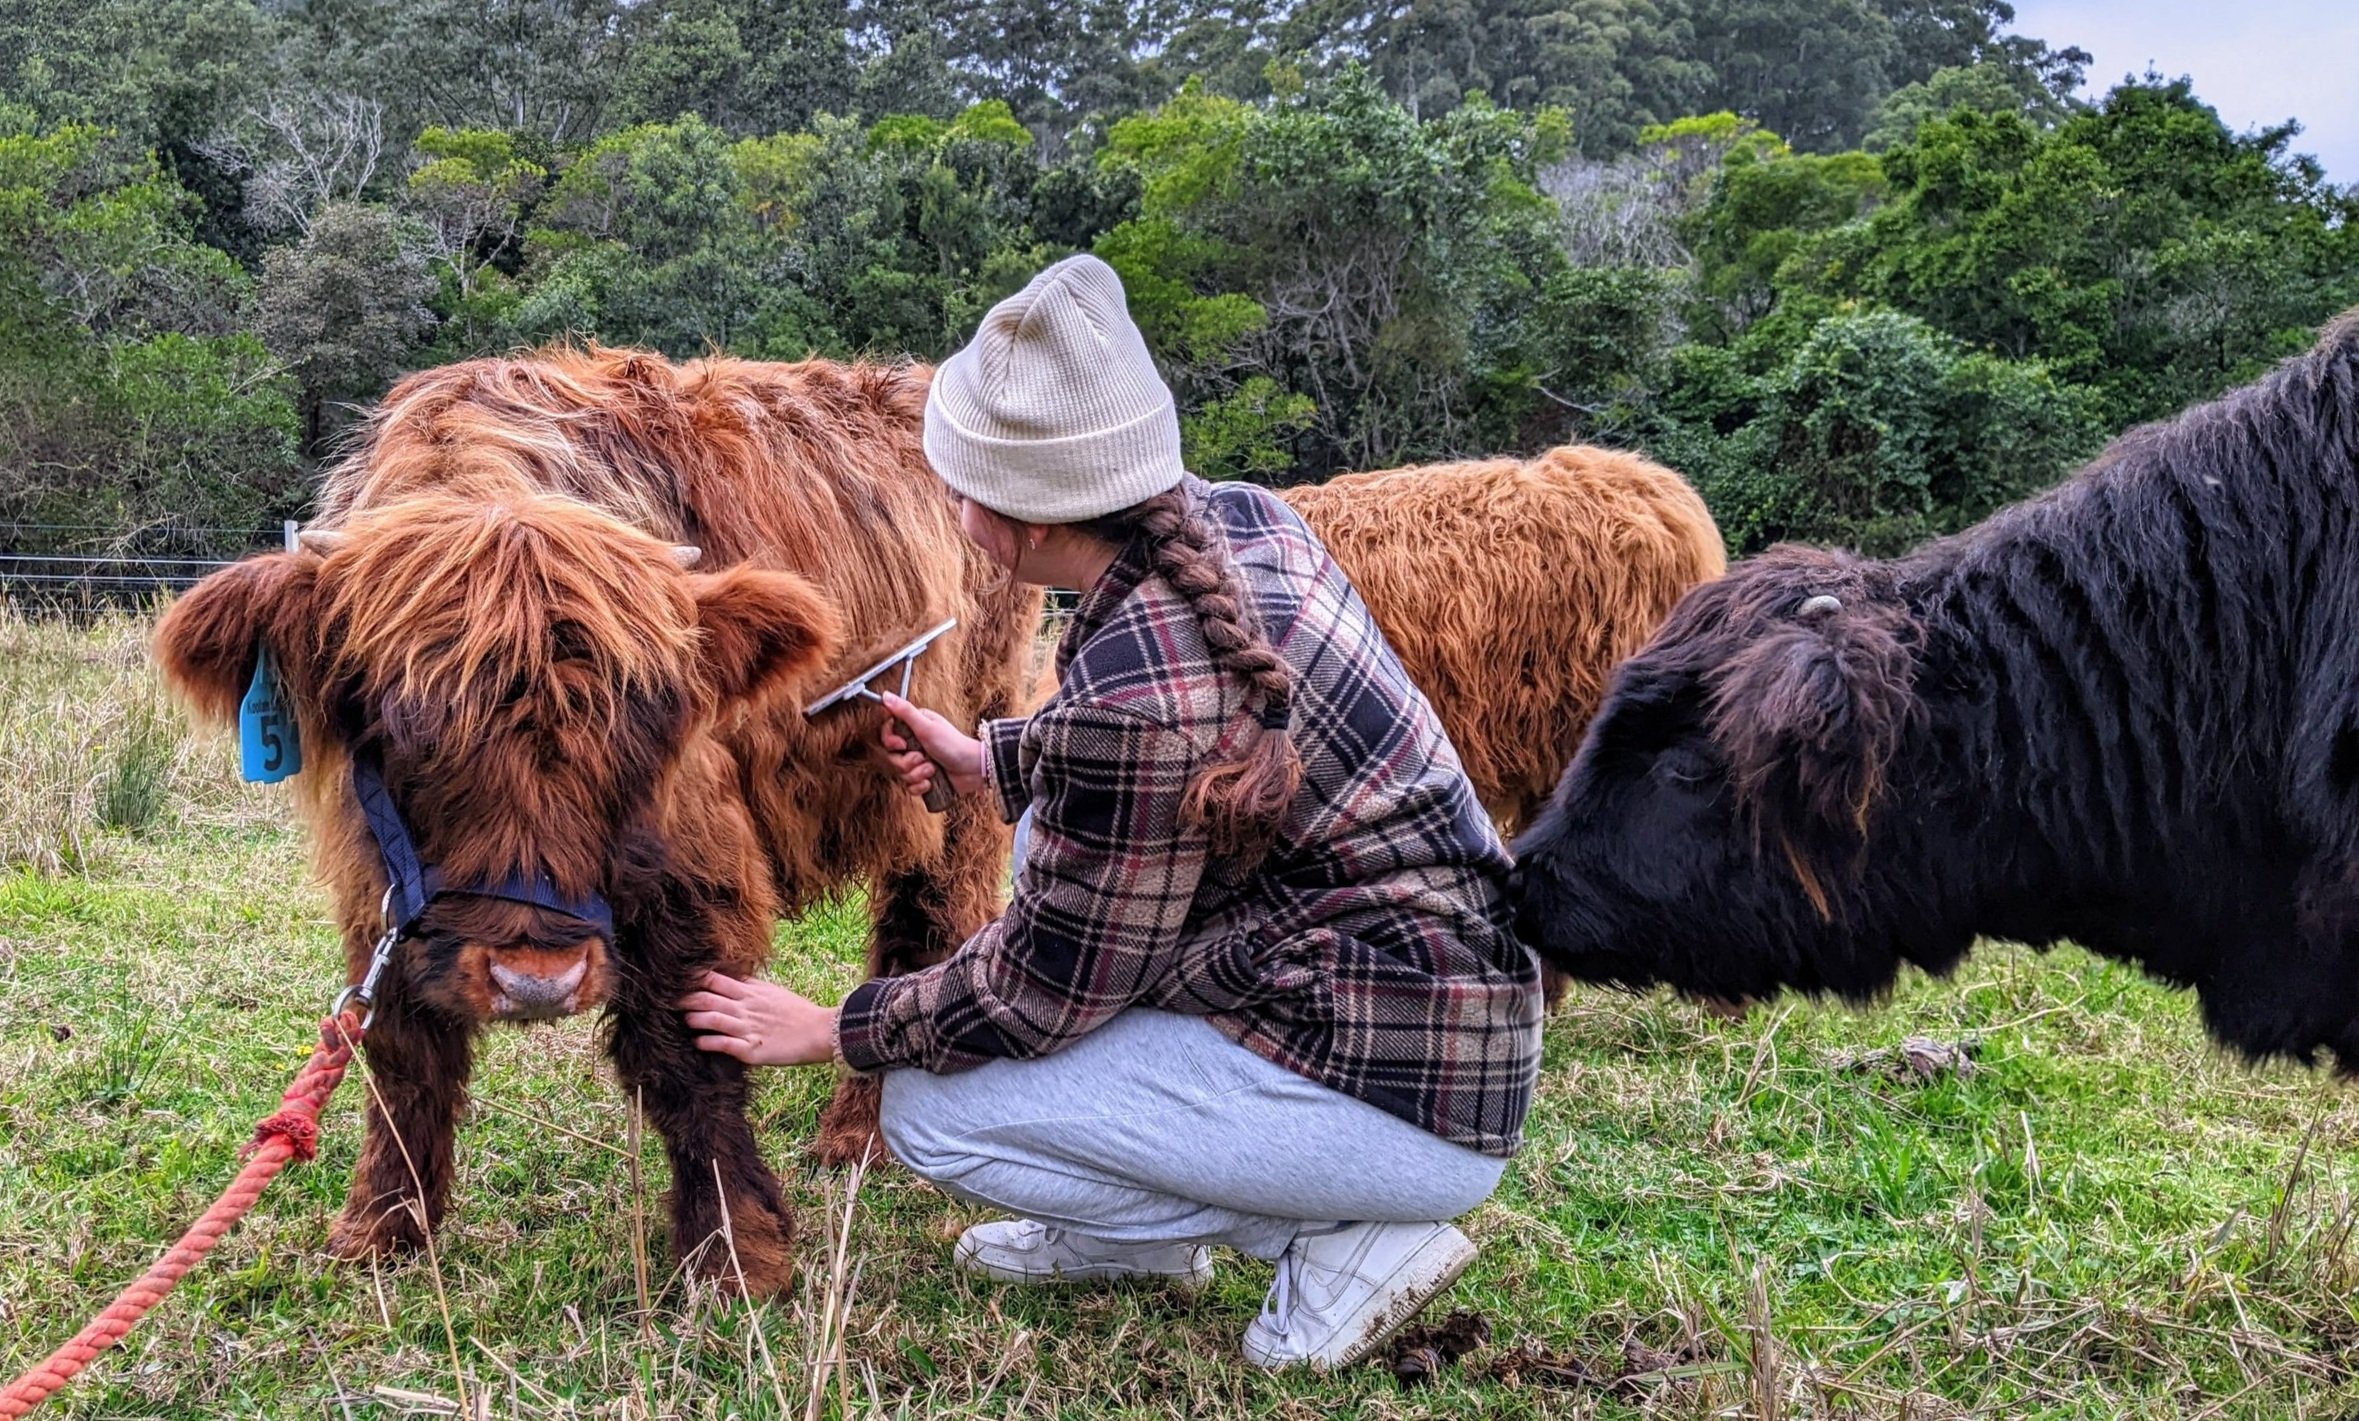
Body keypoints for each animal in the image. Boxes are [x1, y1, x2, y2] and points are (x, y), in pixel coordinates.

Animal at [147, 344, 1033, 1293]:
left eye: (647, 730)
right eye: (400, 730)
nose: (535, 978)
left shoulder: (692, 872)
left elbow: (687, 1058)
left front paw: (736, 1255)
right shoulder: (377, 882)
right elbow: (401, 1050)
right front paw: (380, 1230)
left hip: (965, 758)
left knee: (924, 928)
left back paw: (857, 1134)